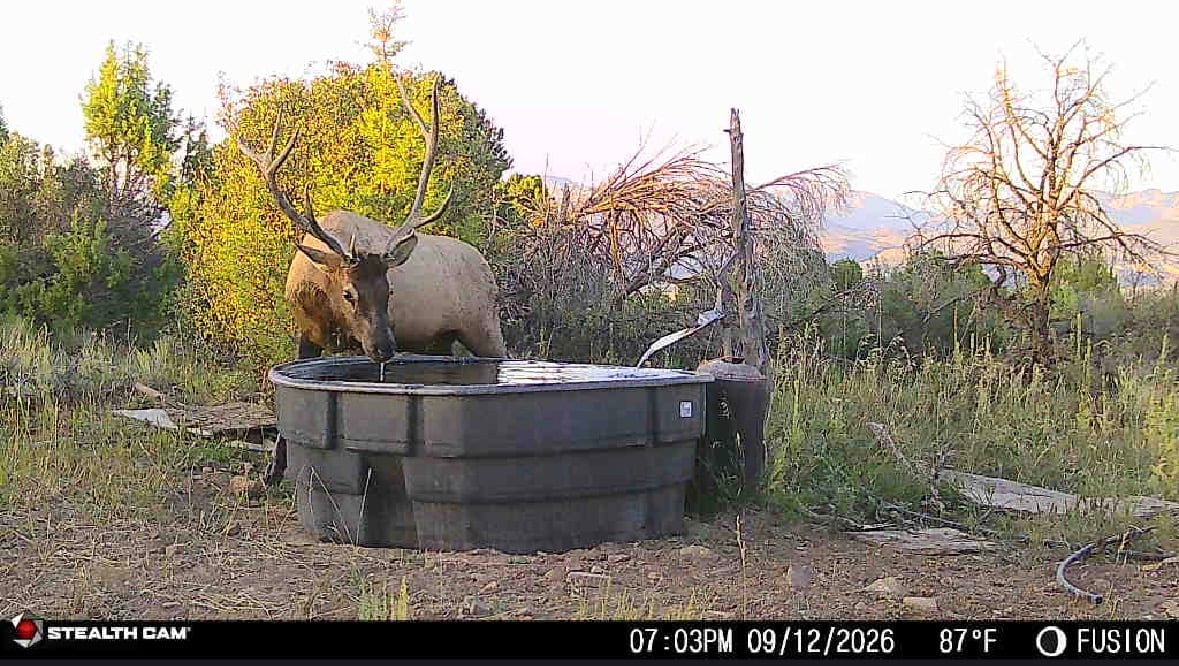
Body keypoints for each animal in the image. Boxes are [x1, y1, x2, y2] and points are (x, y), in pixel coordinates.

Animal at [236, 75, 508, 486]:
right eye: (349, 293)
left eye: (389, 290)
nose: (385, 347)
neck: (320, 301)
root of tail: (488, 268)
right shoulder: (306, 331)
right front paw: (271, 474)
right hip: (442, 339)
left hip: (484, 325)